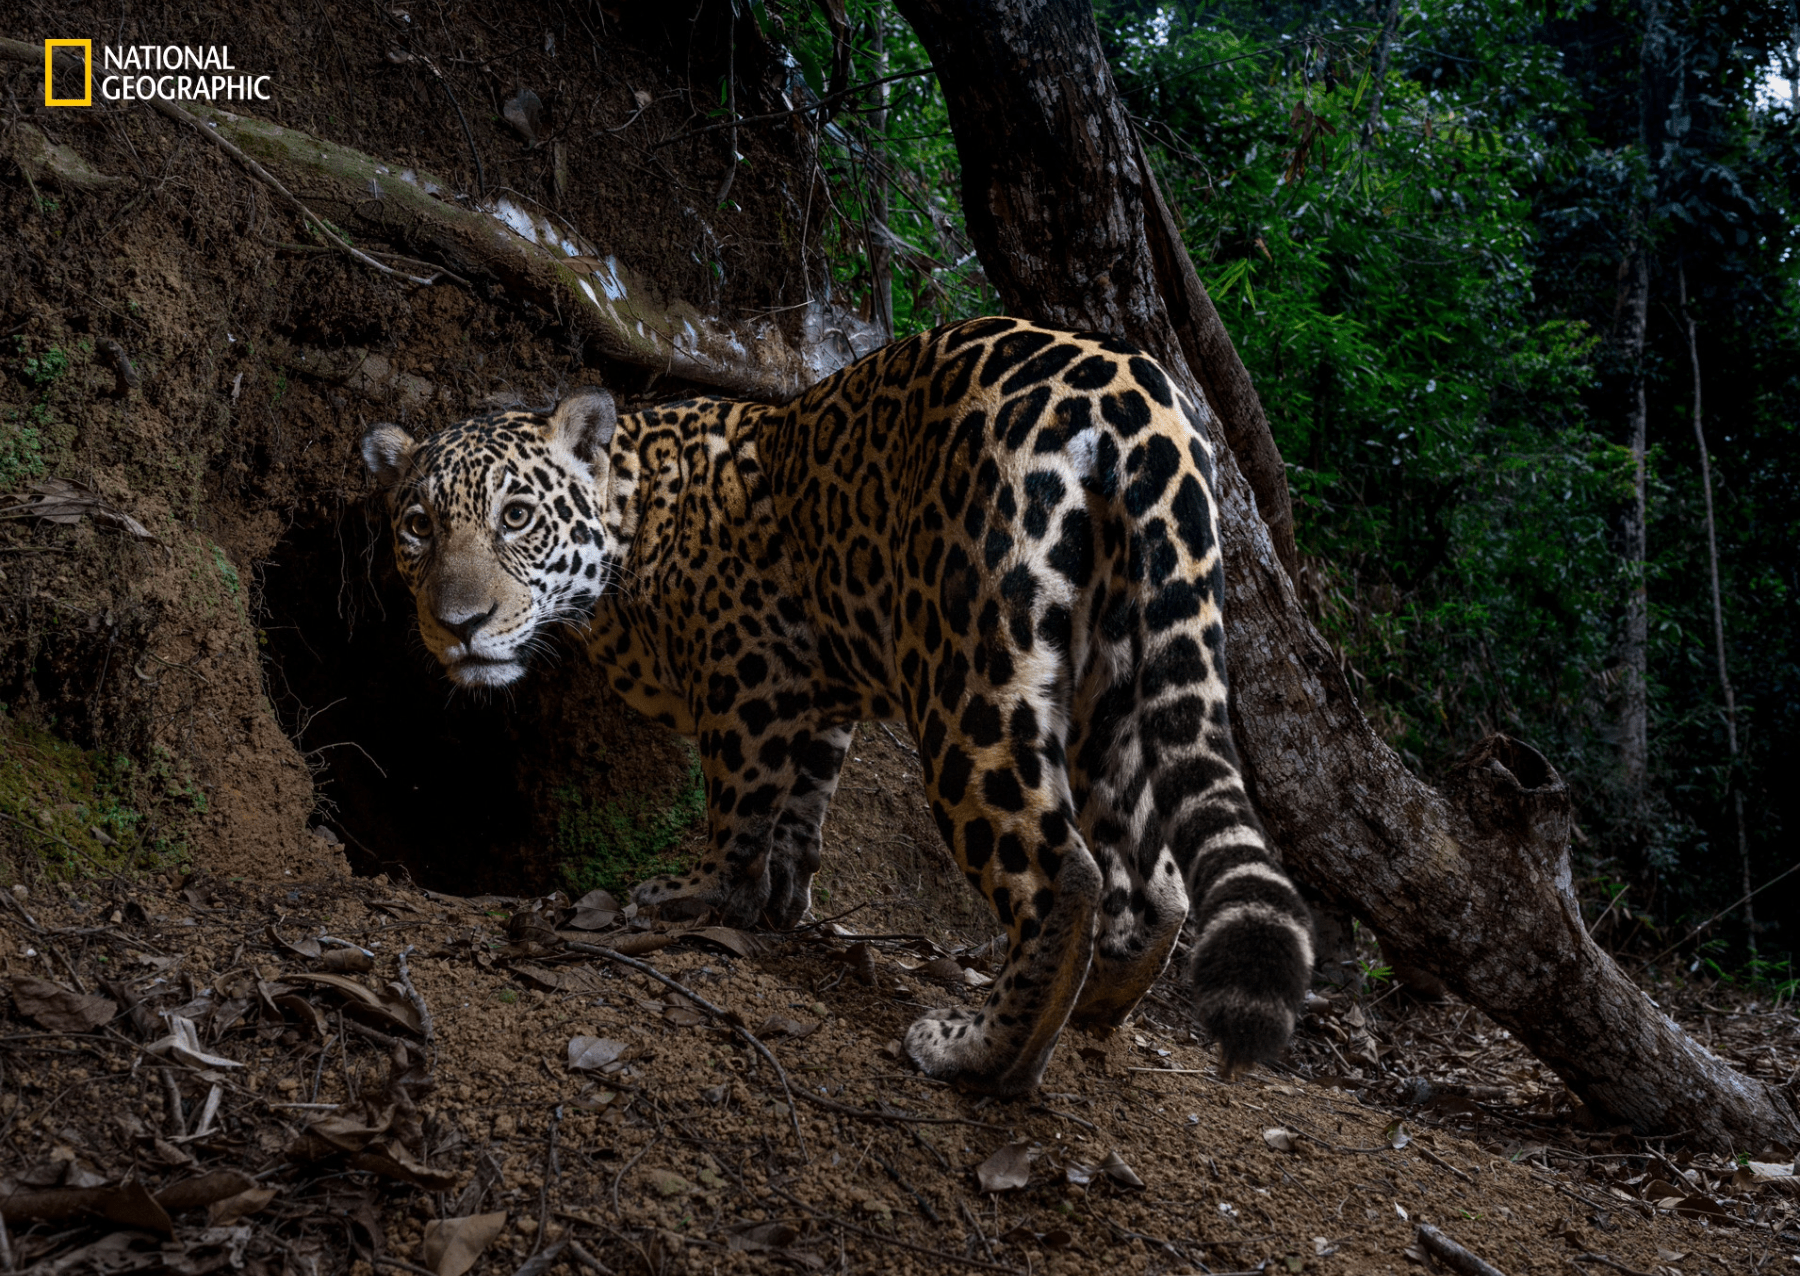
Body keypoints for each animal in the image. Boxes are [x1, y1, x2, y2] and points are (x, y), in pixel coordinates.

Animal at [361, 317, 1314, 1094]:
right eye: (417, 526)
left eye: (517, 516)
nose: (457, 624)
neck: (634, 514)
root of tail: (1140, 394)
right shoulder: (818, 686)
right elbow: (804, 800)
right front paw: (785, 899)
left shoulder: (747, 678)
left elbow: (739, 807)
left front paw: (699, 895)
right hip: (1116, 672)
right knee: (1158, 883)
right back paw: (1094, 1009)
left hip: (968, 668)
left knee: (1066, 874)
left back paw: (980, 1055)